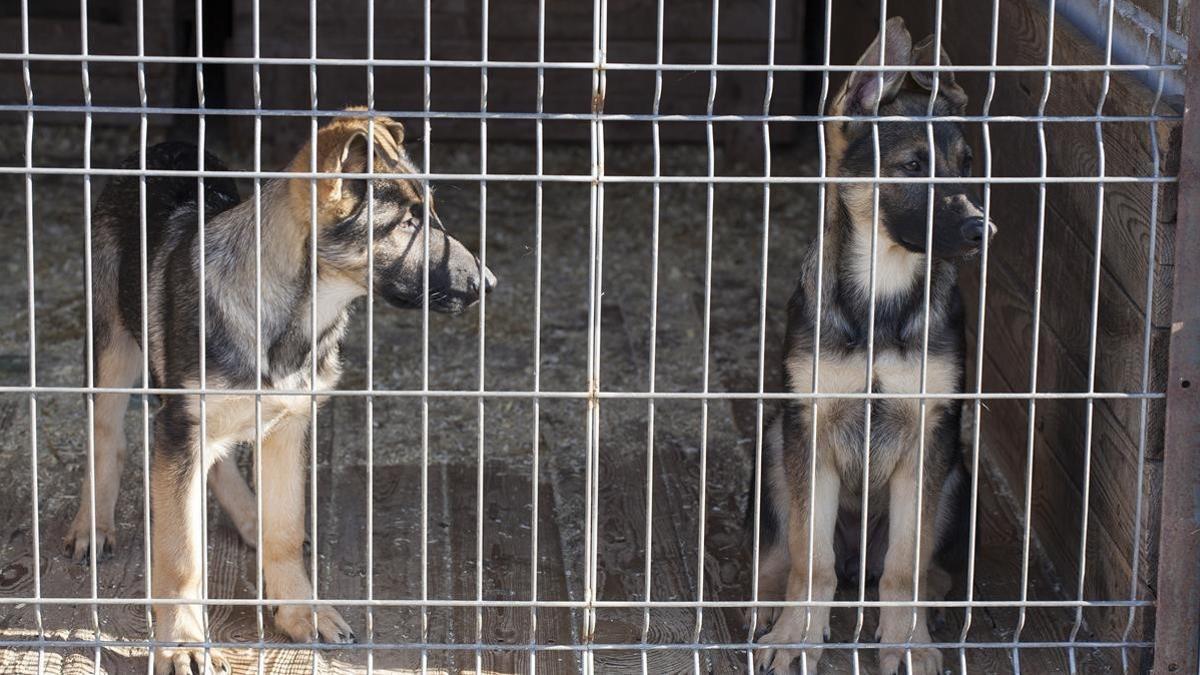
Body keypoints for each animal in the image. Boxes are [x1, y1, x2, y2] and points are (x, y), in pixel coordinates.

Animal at [753, 18, 998, 667]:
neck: (881, 299)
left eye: (966, 165)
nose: (982, 230)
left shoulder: (928, 432)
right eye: (912, 165)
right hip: (776, 446)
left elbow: (903, 566)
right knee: (787, 553)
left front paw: (907, 643)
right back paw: (765, 604)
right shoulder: (810, 427)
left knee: (916, 568)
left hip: (956, 478)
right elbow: (810, 561)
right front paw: (795, 636)